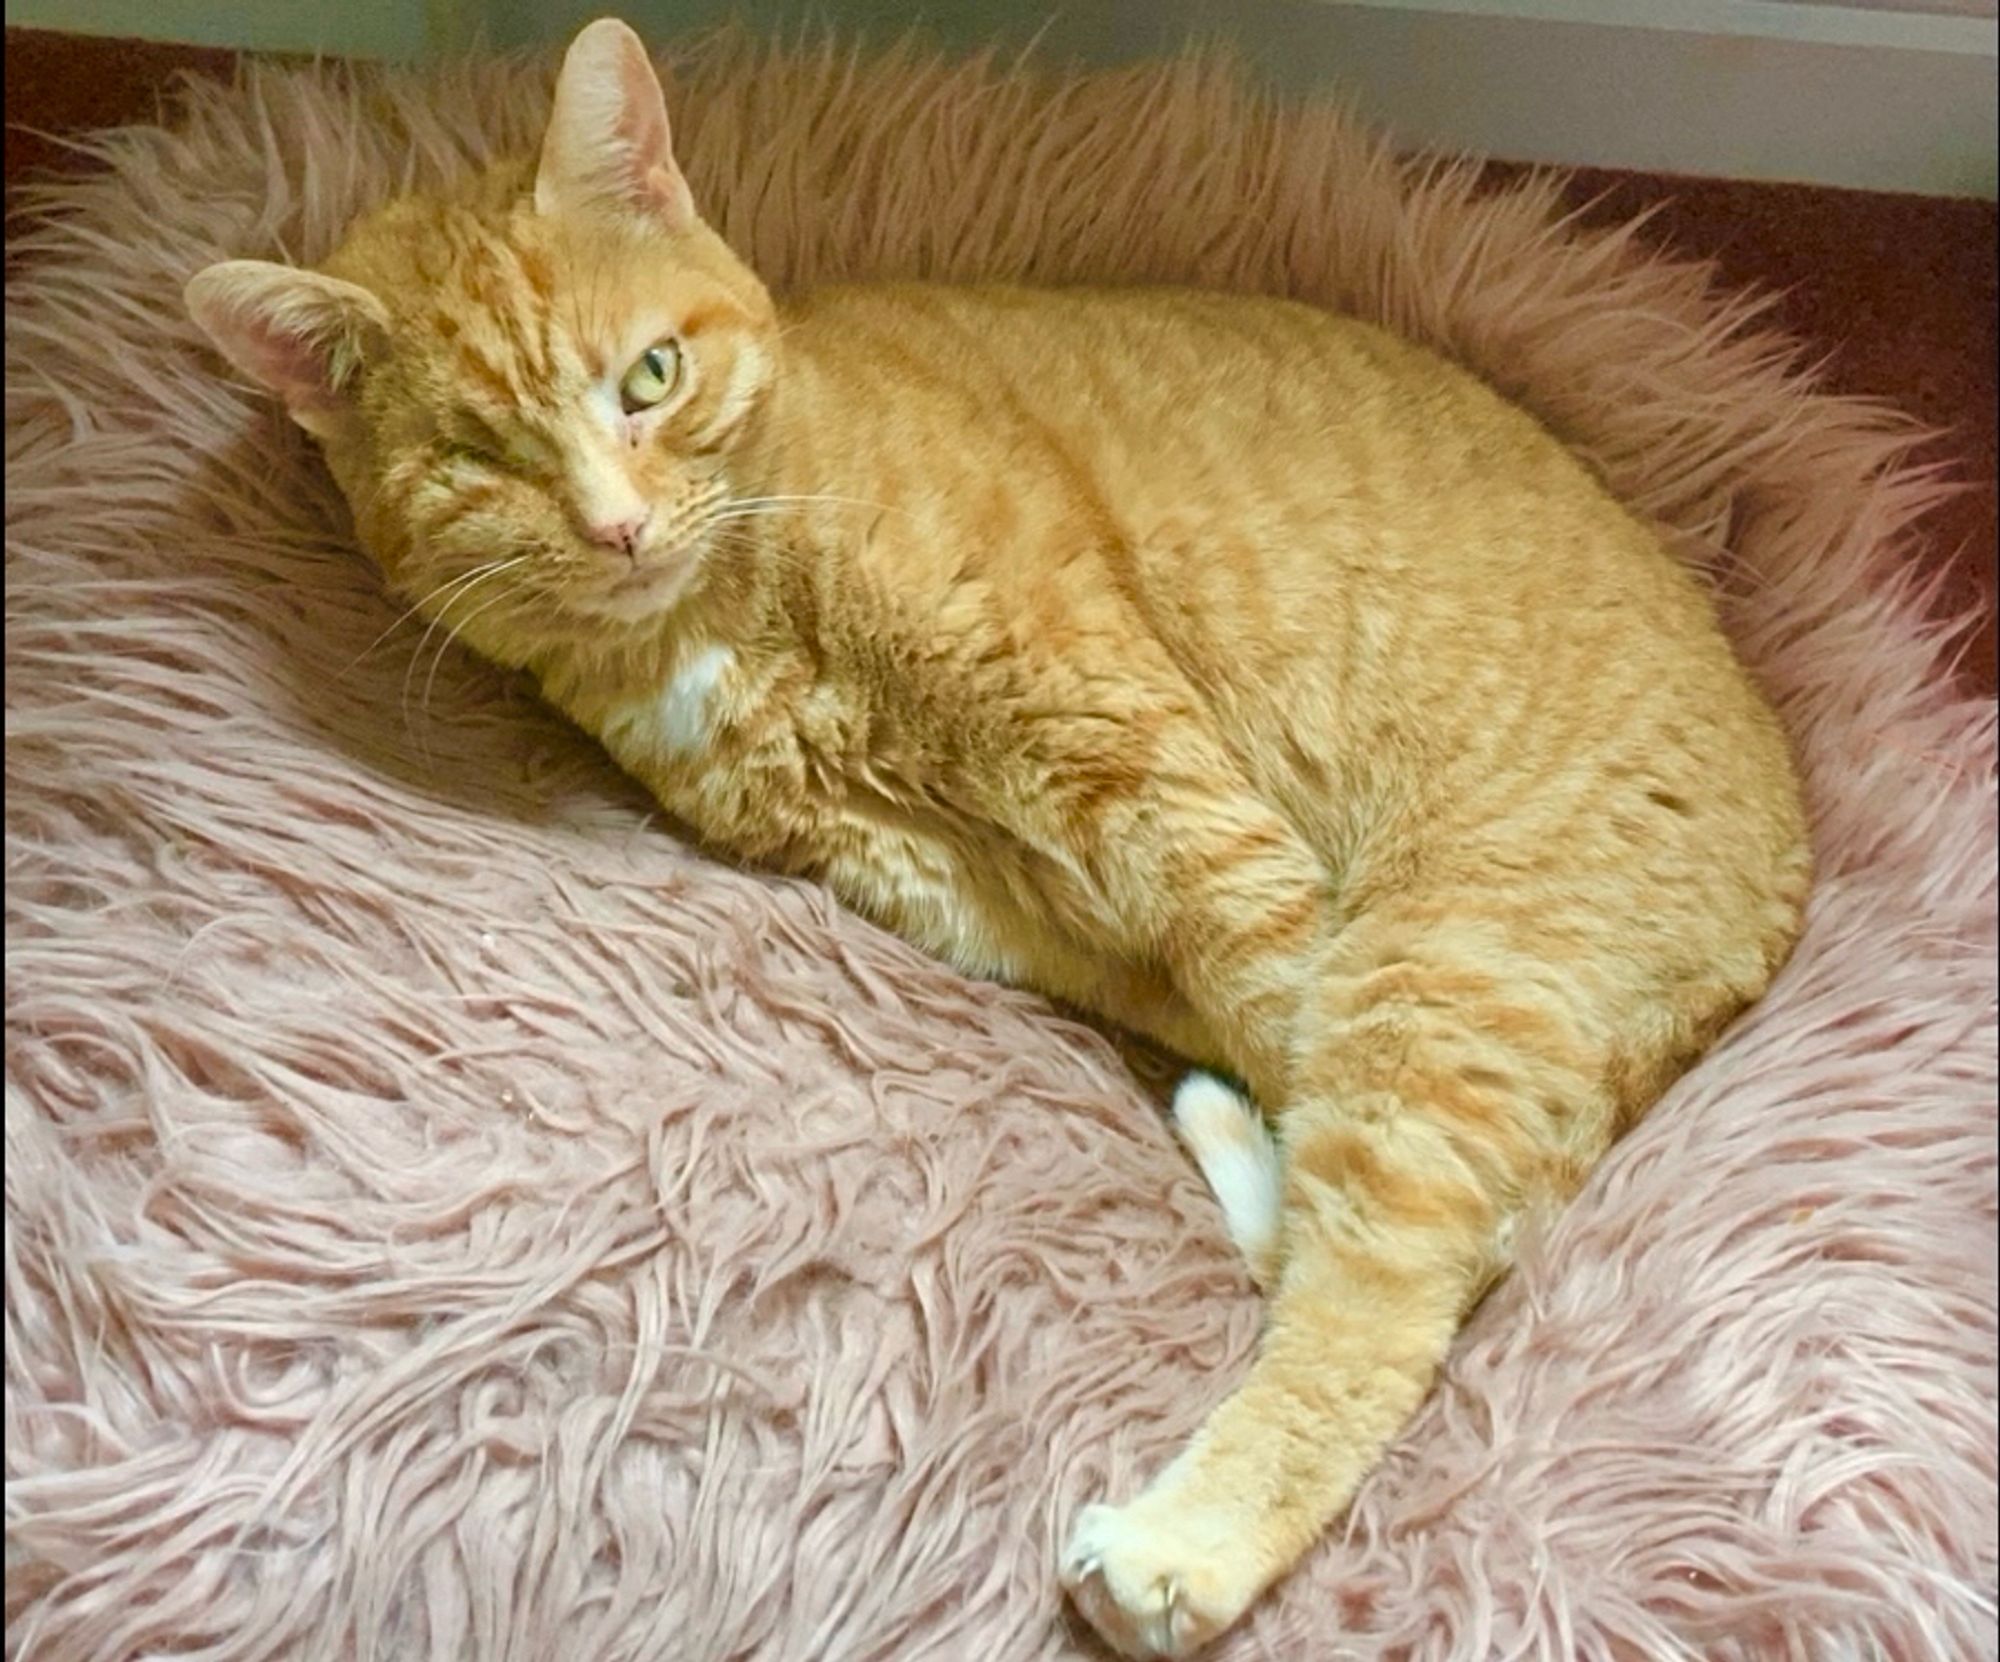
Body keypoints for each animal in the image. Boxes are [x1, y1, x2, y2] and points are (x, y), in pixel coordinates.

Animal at [188, 19, 1816, 1656]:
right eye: (481, 458)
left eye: (650, 375)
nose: (616, 528)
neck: (732, 618)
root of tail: (1788, 865)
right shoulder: (967, 897)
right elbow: (1235, 1036)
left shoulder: (1142, 776)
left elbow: (1287, 1027)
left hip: (1443, 962)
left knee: (1394, 1283)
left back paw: (1180, 1545)